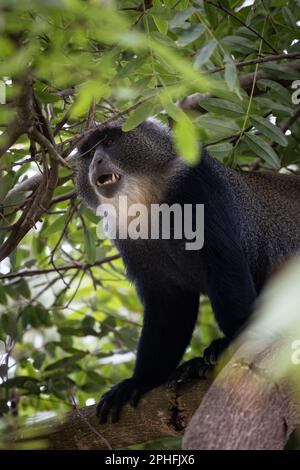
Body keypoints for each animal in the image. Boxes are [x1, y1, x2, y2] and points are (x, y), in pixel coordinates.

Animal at [75, 117, 300, 422]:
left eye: (109, 142)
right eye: (88, 154)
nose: (97, 161)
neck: (148, 199)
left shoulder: (196, 187)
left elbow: (224, 266)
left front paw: (233, 343)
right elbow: (169, 304)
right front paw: (141, 380)